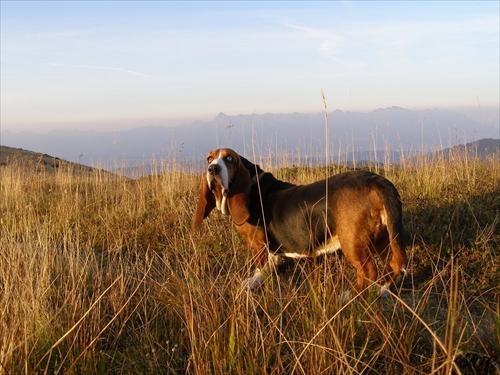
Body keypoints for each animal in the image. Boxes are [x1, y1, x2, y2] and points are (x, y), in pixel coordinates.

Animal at [191, 148, 406, 298]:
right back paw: (383, 290)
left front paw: (254, 281)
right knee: (393, 264)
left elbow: (260, 266)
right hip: (384, 236)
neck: (253, 183)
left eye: (229, 159)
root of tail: (379, 182)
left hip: (352, 241)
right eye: (209, 158)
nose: (212, 169)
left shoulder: (256, 243)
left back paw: (349, 296)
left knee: (368, 270)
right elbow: (272, 260)